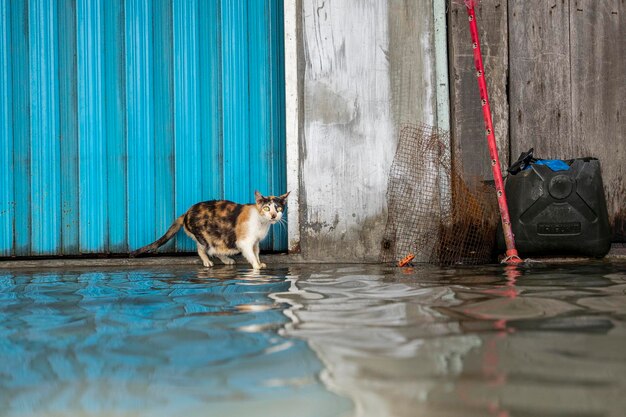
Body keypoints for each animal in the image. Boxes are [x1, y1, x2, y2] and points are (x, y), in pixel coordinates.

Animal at [133, 190, 288, 268]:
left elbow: (256, 253)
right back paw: (207, 262)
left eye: (279, 209)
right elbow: (251, 255)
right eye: (266, 208)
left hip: (218, 238)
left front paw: (259, 262)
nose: (274, 215)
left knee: (216, 249)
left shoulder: (255, 242)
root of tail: (186, 214)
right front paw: (257, 266)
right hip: (204, 237)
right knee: (203, 249)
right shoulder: (245, 242)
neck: (262, 223)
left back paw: (226, 260)